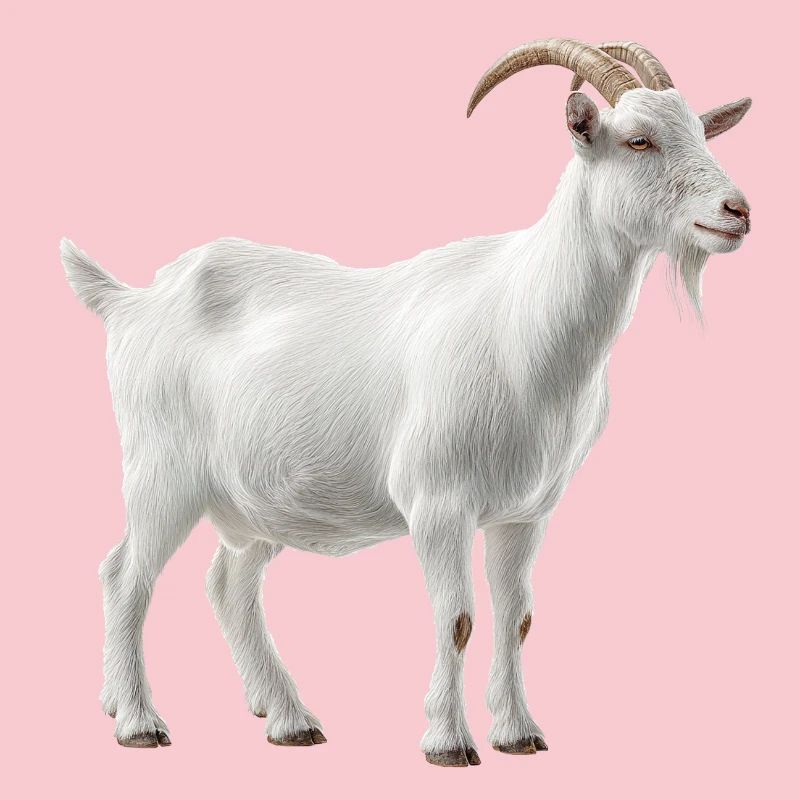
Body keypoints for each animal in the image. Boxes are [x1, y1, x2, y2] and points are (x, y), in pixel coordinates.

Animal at [63, 38, 751, 766]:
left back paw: (287, 718)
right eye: (638, 139)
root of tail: (130, 301)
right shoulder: (438, 502)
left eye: (702, 132)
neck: (522, 321)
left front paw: (518, 732)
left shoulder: (524, 513)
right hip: (161, 471)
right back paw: (138, 720)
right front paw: (448, 741)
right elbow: (457, 618)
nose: (737, 211)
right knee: (125, 576)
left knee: (229, 584)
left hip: (254, 500)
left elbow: (517, 617)